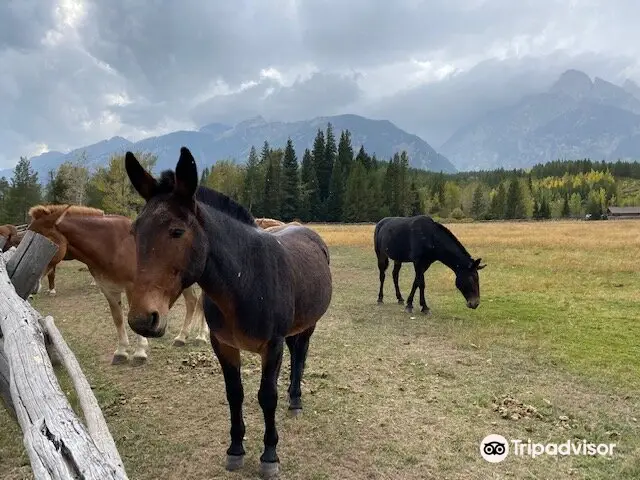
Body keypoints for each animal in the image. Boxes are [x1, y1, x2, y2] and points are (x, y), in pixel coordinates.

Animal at [26, 202, 208, 364]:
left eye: (47, 241)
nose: (33, 286)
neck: (114, 245)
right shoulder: (108, 289)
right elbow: (118, 319)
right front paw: (121, 352)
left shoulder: (133, 288)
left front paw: (140, 353)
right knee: (192, 302)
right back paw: (182, 337)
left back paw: (201, 337)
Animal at [125, 147, 336, 480]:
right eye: (135, 232)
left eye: (177, 231)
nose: (142, 318)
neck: (244, 281)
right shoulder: (224, 345)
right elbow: (234, 393)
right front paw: (235, 449)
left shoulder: (272, 346)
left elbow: (267, 396)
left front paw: (269, 455)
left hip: (308, 325)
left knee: (300, 357)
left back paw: (295, 400)